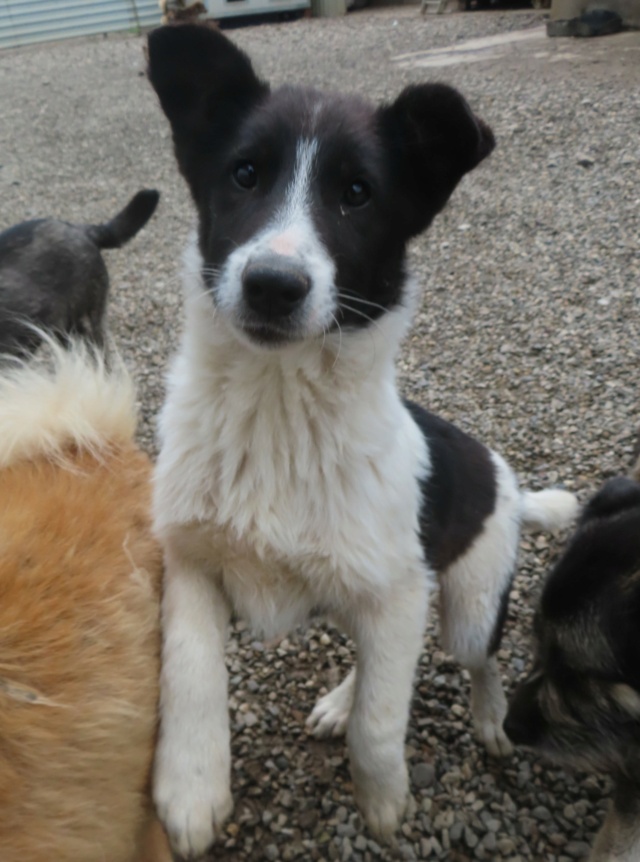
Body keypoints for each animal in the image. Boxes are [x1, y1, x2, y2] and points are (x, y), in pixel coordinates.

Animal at [148, 23, 576, 860]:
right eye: (244, 173)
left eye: (357, 194)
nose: (272, 285)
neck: (278, 412)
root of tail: (506, 479)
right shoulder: (191, 561)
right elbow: (191, 674)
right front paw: (191, 790)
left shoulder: (395, 591)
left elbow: (382, 725)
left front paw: (383, 804)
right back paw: (344, 697)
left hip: (468, 603)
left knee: (475, 660)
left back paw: (488, 721)